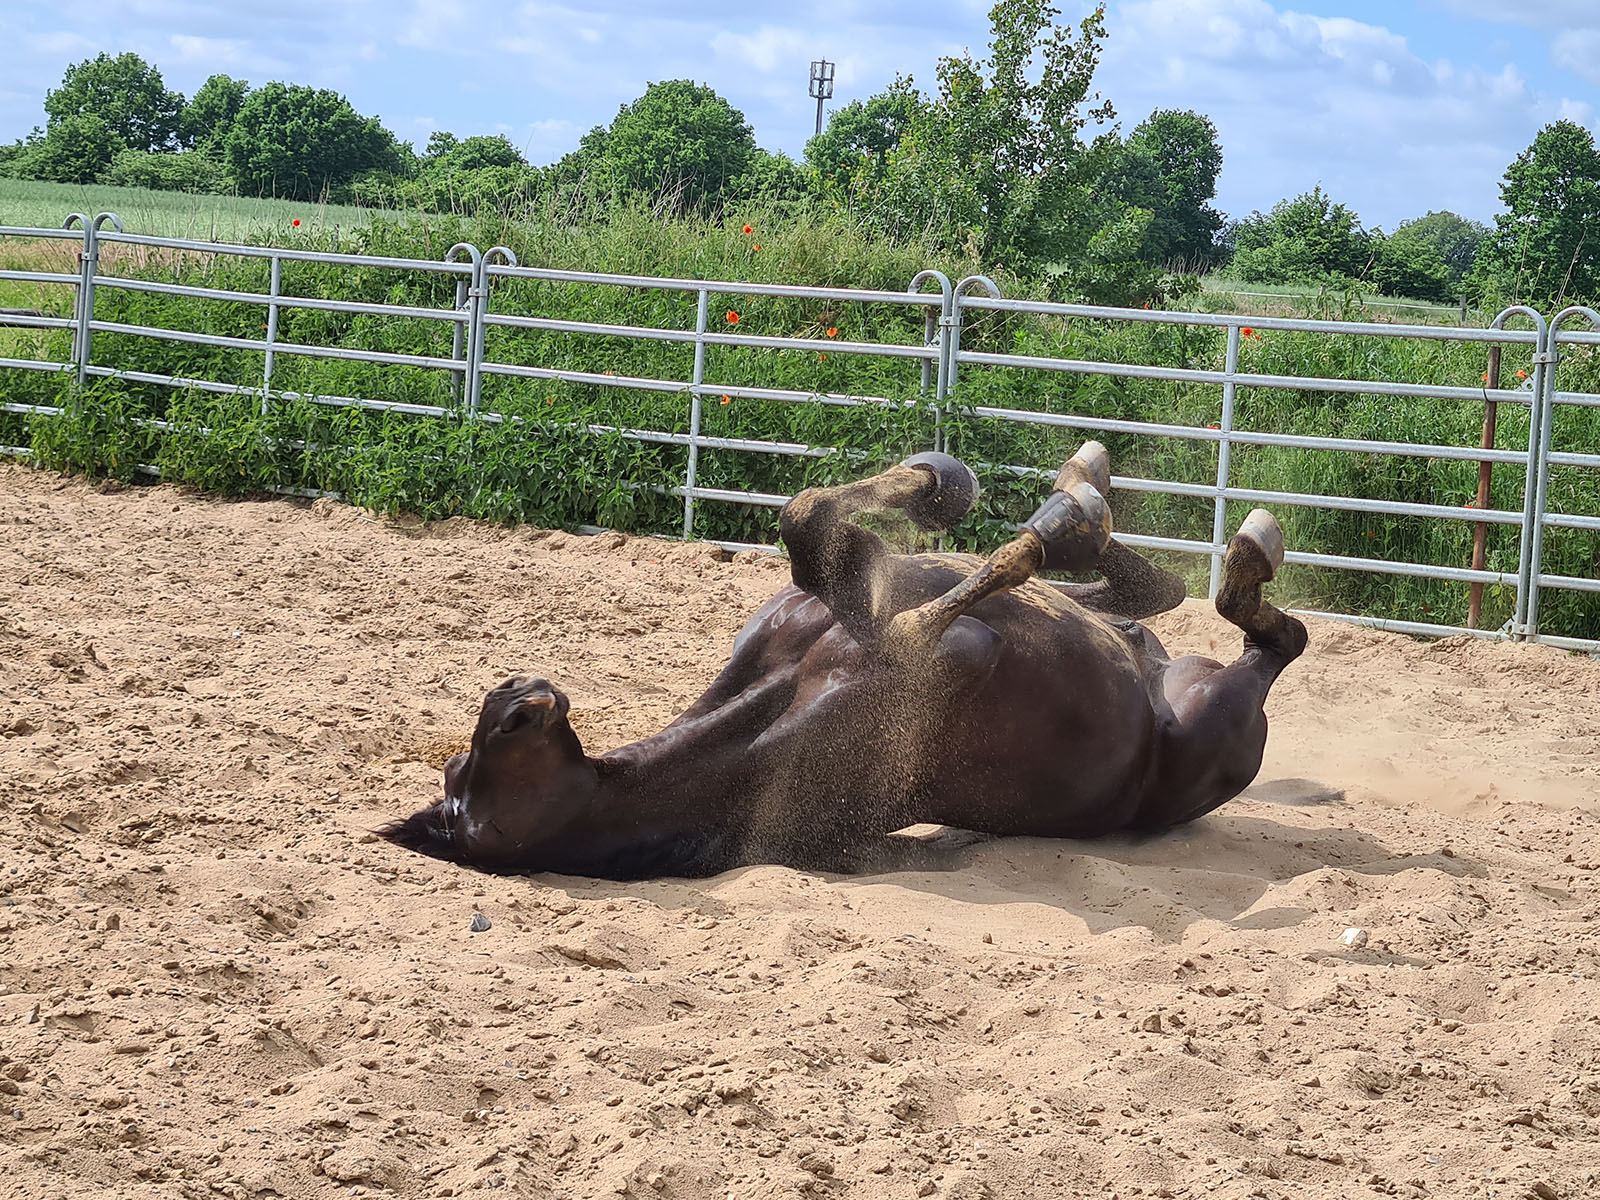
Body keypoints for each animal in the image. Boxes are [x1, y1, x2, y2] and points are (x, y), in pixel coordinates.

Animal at [380, 448, 1305, 876]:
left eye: (462, 763)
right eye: (474, 785)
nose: (516, 695)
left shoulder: (823, 596)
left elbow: (805, 523)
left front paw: (942, 482)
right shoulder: (943, 651)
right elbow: (992, 571)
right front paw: (1042, 521)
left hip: (1155, 648)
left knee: (1157, 596)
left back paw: (1090, 492)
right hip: (1212, 720)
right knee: (1274, 637)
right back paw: (1217, 547)